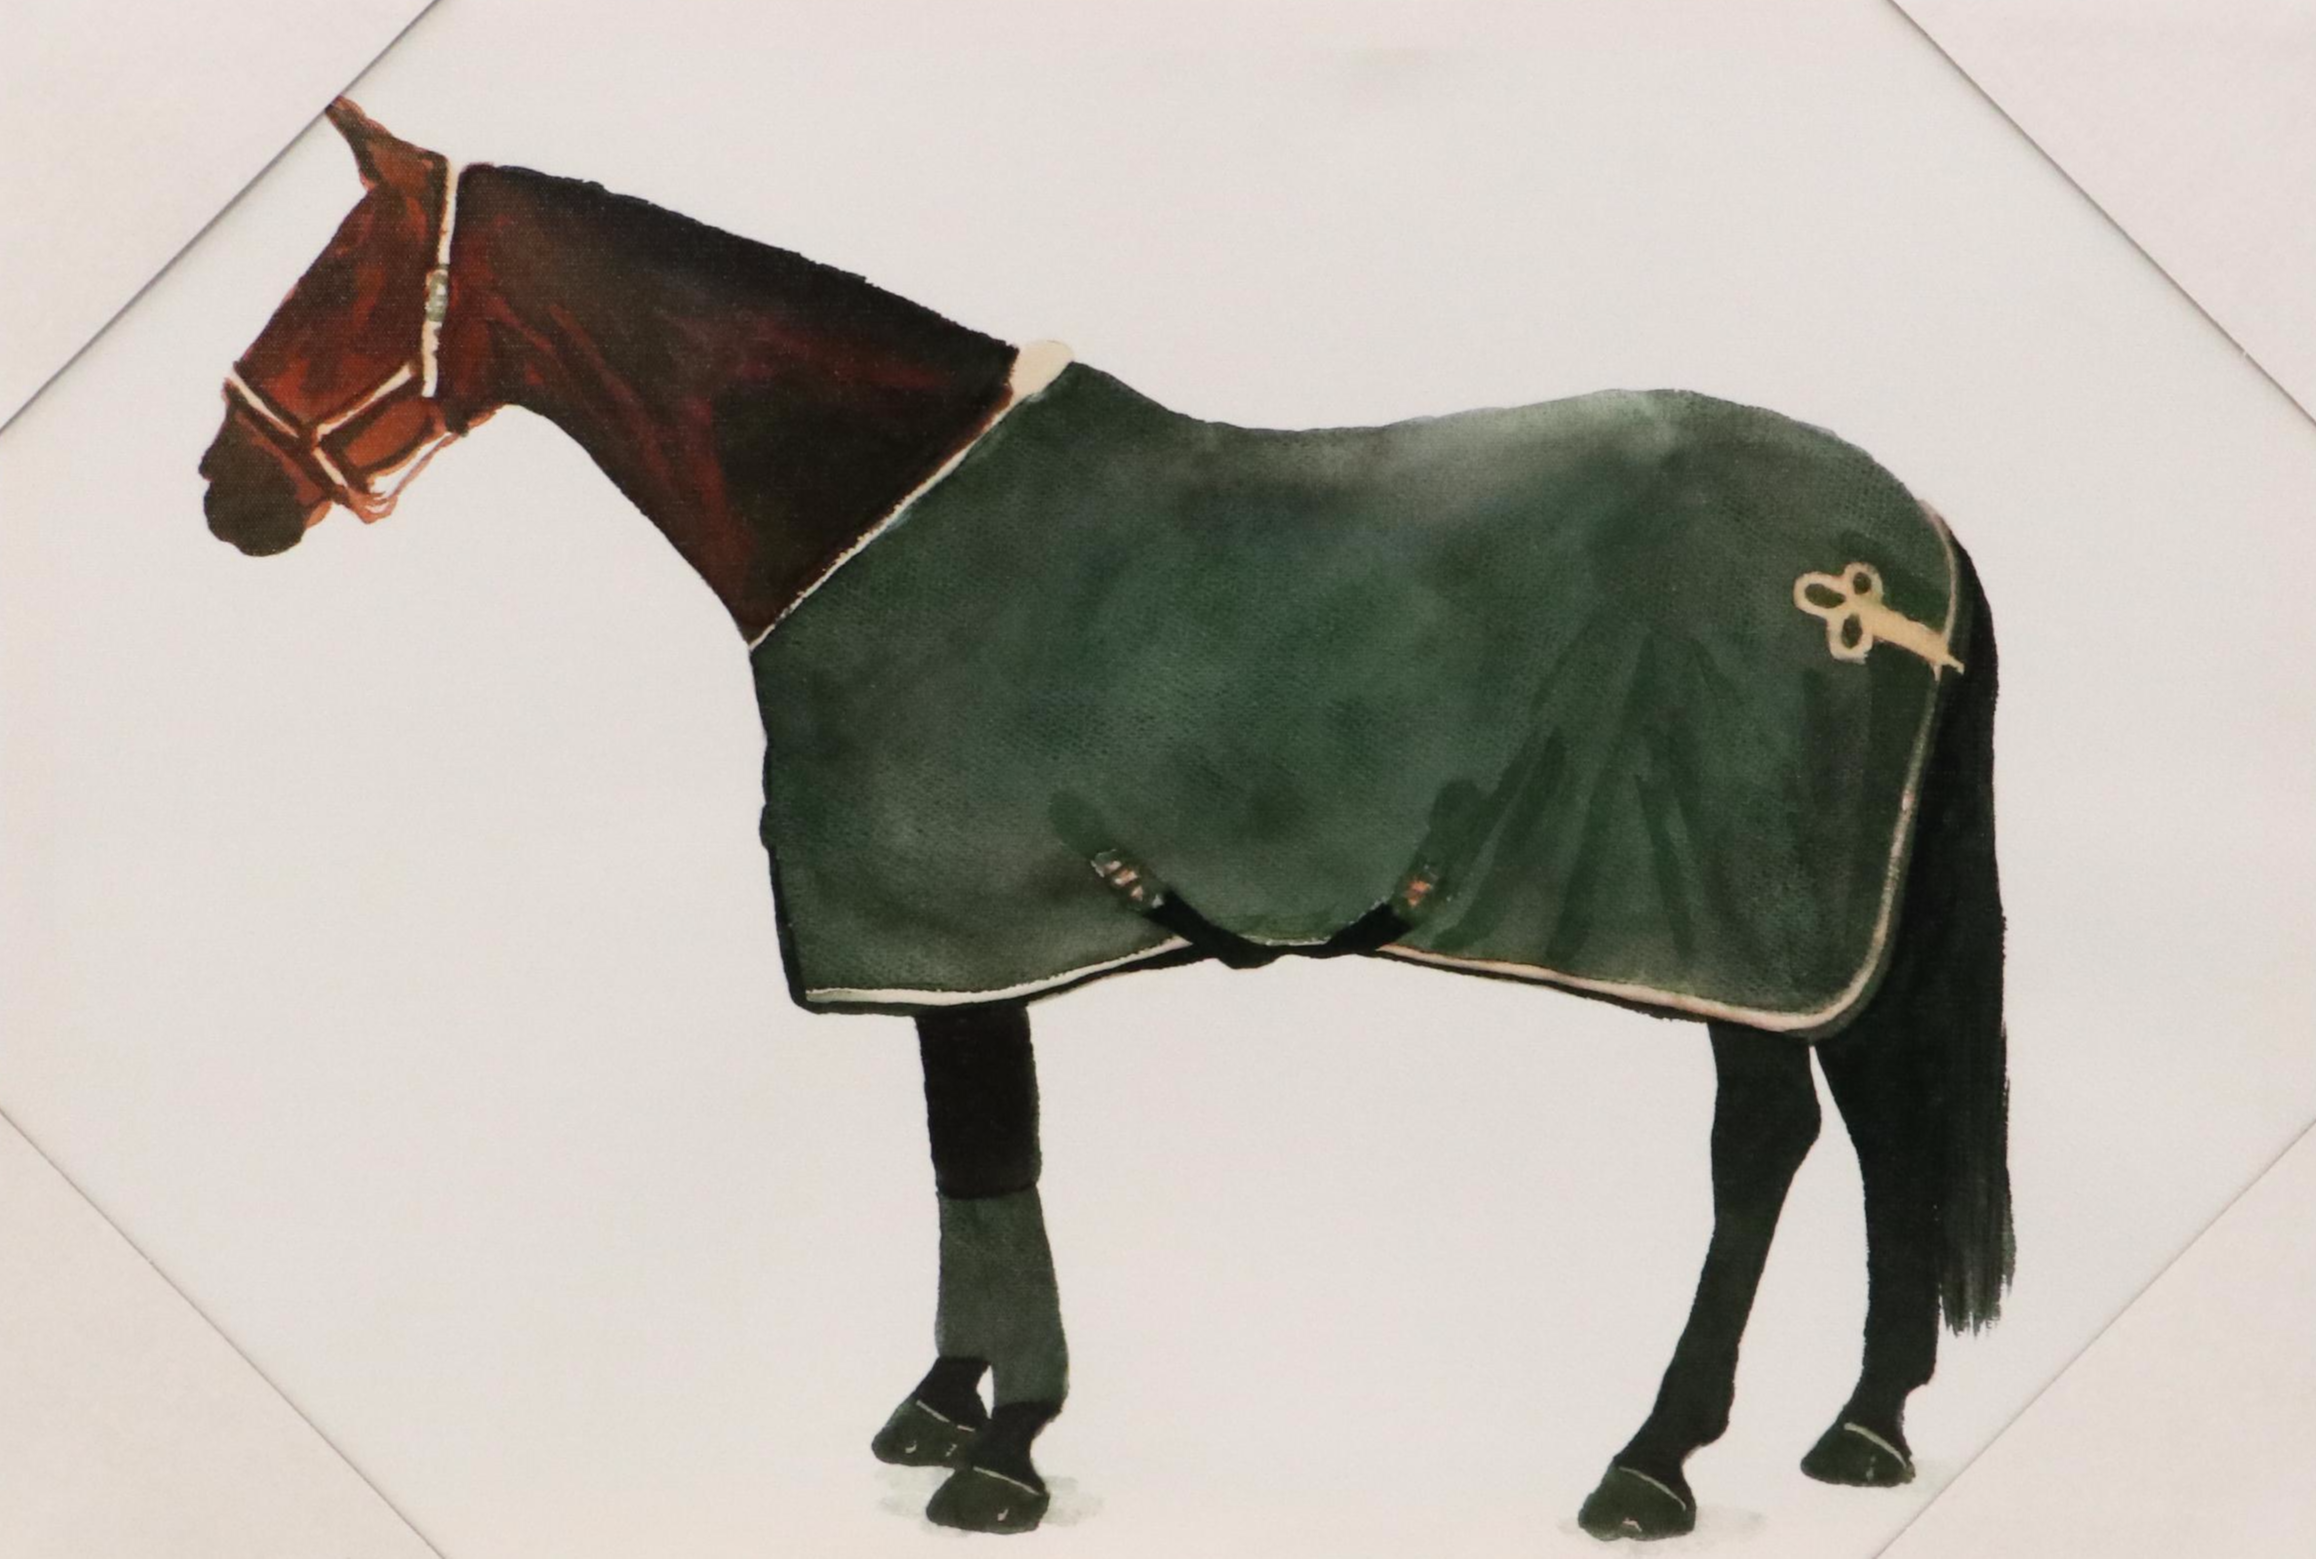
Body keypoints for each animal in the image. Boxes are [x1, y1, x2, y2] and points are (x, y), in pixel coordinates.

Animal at [199, 100, 2010, 1541]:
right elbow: (961, 1158)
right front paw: (943, 1399)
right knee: (1884, 1116)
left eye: (343, 279)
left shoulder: (964, 923)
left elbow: (998, 1157)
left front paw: (1003, 1444)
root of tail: (1906, 541)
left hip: (1738, 933)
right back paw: (1861, 1424)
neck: (873, 504)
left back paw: (1654, 1456)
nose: (227, 490)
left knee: (1764, 1146)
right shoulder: (942, 947)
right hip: (1832, 936)